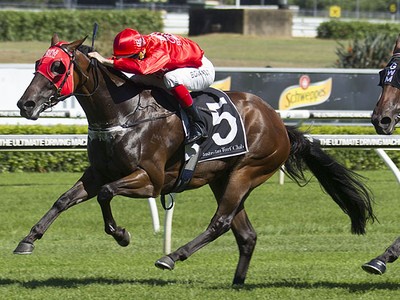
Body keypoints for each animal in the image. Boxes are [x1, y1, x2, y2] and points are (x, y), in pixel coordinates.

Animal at [14, 34, 376, 284]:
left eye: (58, 67)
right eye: (37, 64)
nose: (25, 104)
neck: (124, 113)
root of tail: (279, 124)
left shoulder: (150, 180)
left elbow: (105, 195)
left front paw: (122, 235)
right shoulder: (98, 172)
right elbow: (63, 200)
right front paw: (27, 240)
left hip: (248, 171)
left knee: (221, 223)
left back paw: (172, 256)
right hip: (222, 178)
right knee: (246, 234)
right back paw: (237, 283)